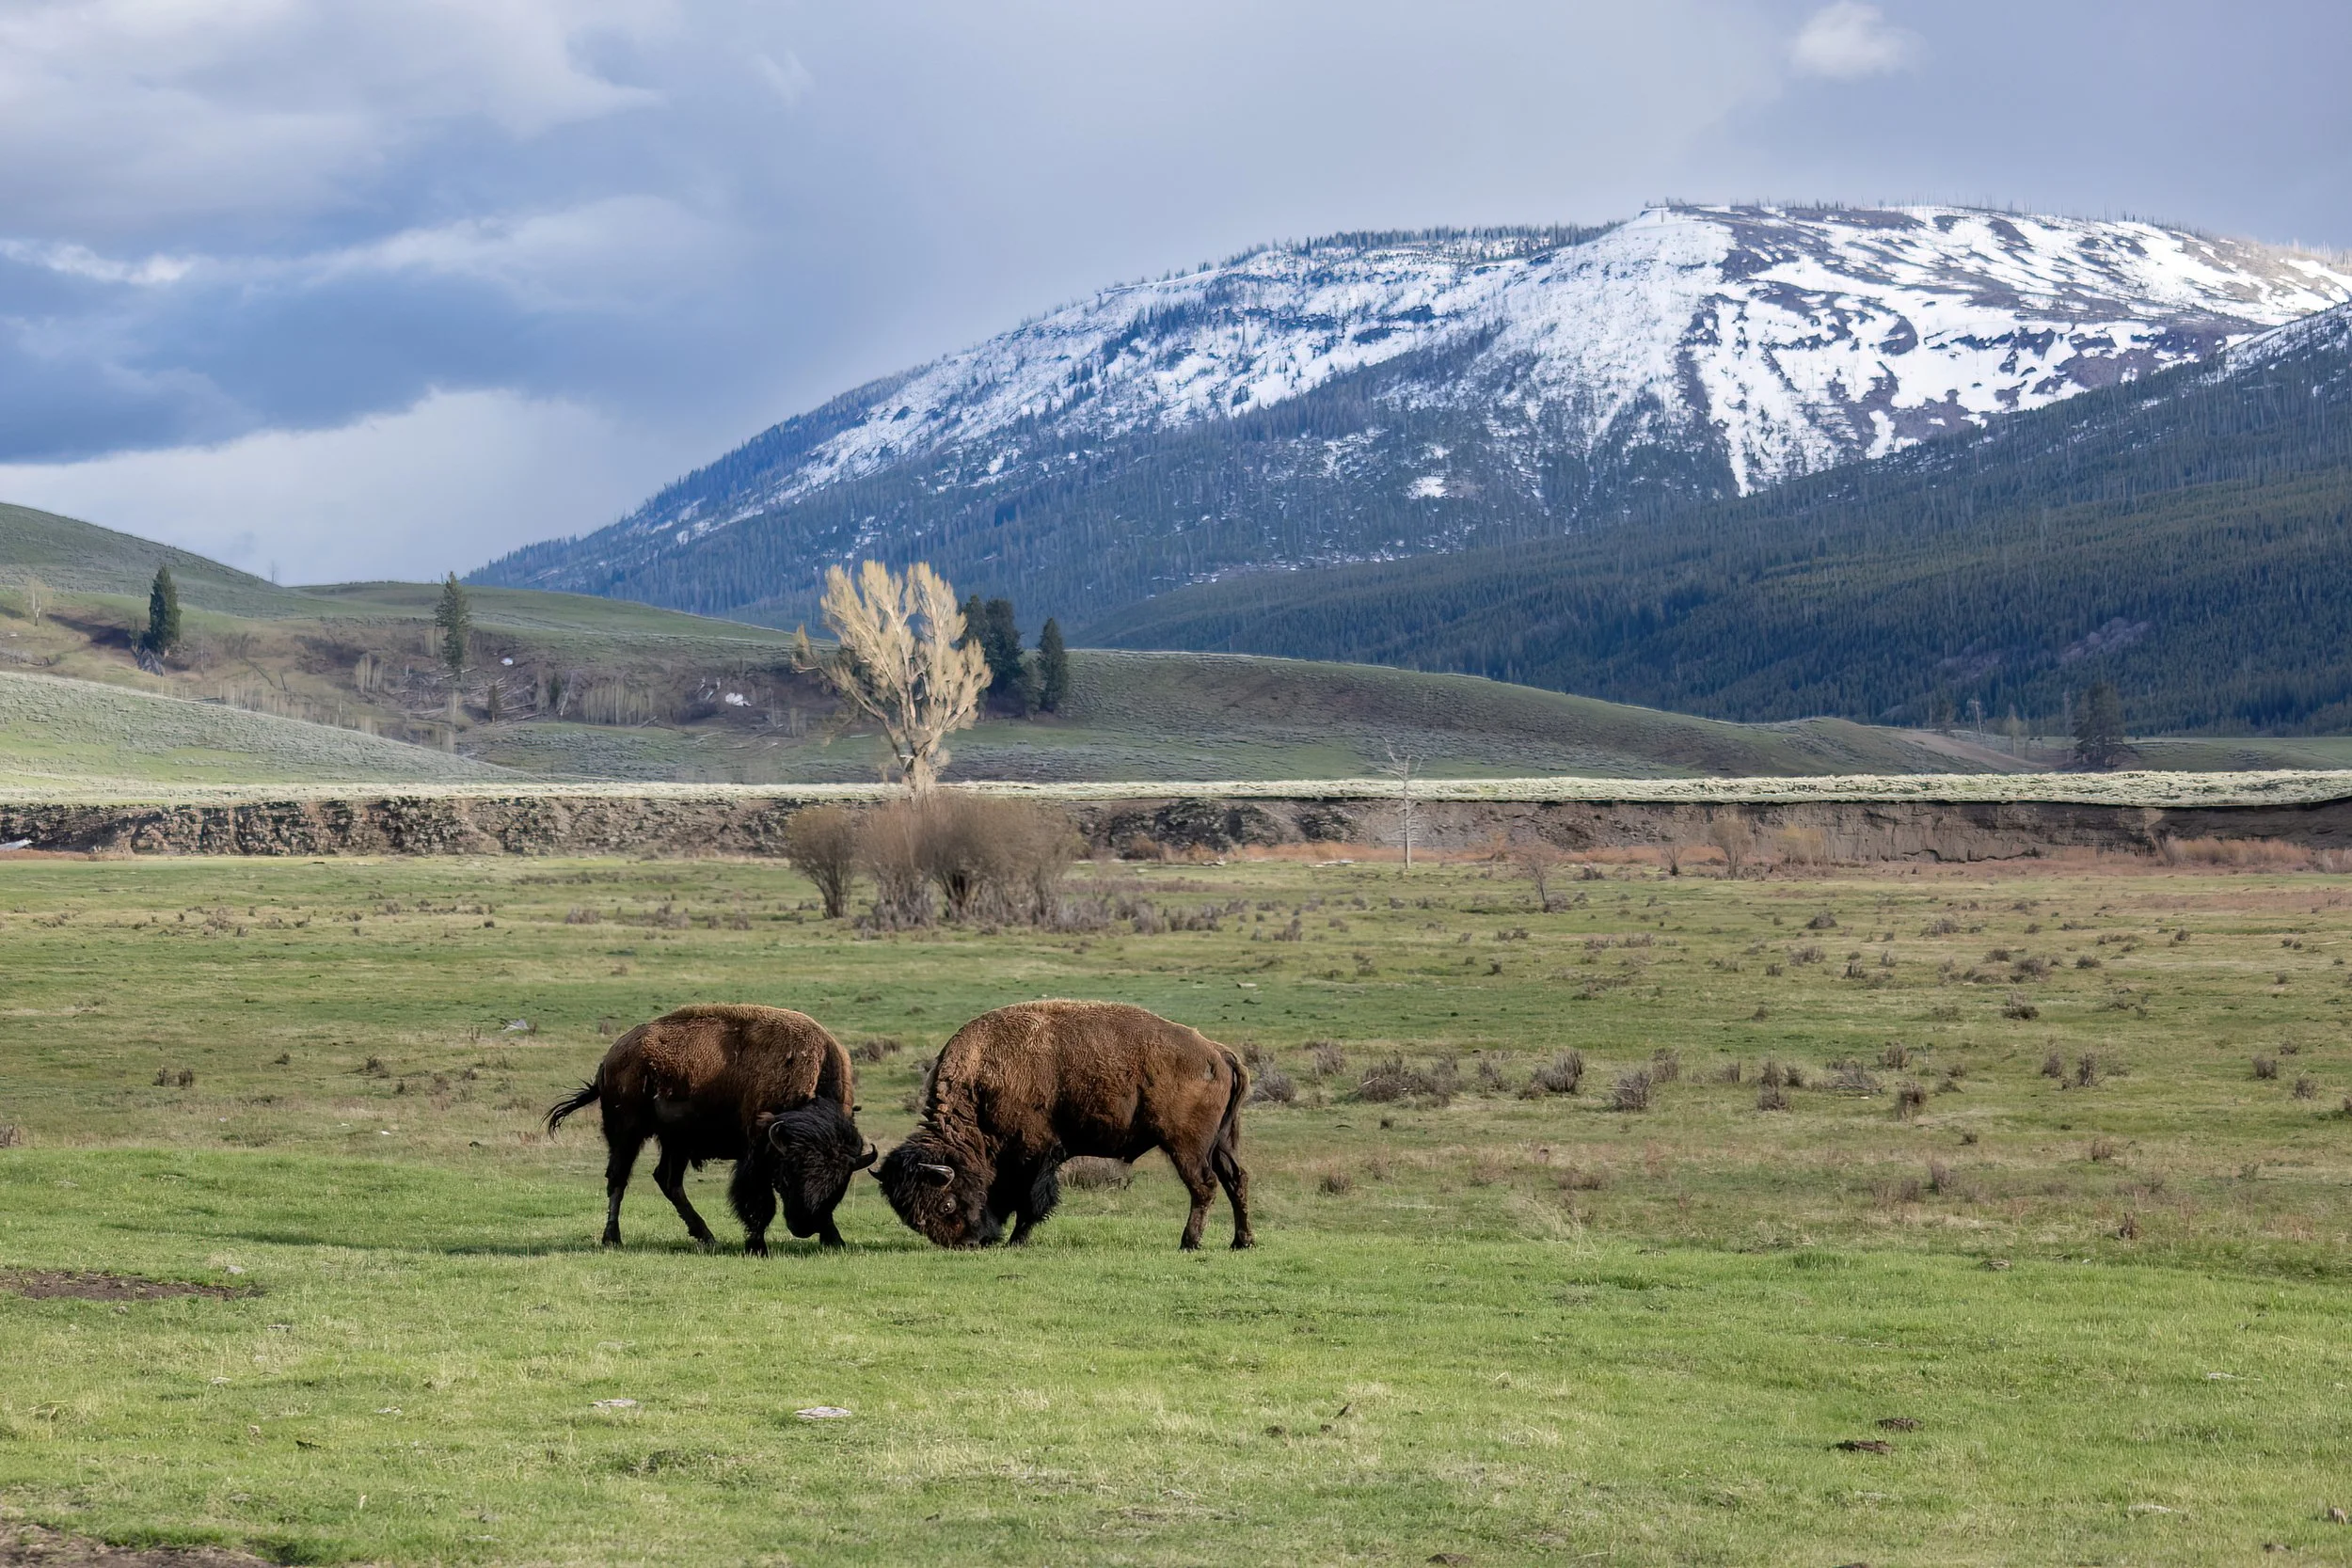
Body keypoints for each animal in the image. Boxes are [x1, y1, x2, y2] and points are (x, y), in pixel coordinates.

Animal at [546, 1004, 875, 1252]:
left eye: (839, 1184)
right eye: (786, 1177)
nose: (803, 1226)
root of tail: (612, 1057)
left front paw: (835, 1240)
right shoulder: (757, 1152)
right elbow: (759, 1200)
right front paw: (757, 1245)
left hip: (676, 1141)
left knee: (667, 1180)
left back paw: (706, 1236)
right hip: (627, 1133)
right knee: (618, 1179)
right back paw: (613, 1238)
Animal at [877, 1000, 1254, 1250]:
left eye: (946, 1204)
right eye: (910, 1217)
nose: (967, 1243)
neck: (981, 1081)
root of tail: (1217, 1052)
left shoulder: (1033, 1154)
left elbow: (1029, 1201)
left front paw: (1016, 1241)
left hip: (1186, 1145)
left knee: (1204, 1186)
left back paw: (1189, 1242)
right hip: (1220, 1143)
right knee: (1236, 1180)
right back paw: (1241, 1242)